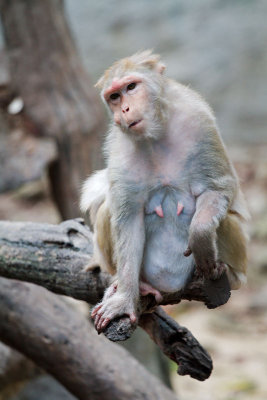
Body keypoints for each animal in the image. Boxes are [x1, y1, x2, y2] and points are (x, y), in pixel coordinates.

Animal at [80, 50, 250, 332]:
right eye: (114, 97)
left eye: (131, 87)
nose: (124, 109)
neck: (155, 135)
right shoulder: (121, 150)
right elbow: (129, 219)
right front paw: (125, 298)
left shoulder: (198, 121)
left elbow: (219, 188)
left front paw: (200, 239)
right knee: (107, 209)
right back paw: (140, 286)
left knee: (225, 219)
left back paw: (228, 273)